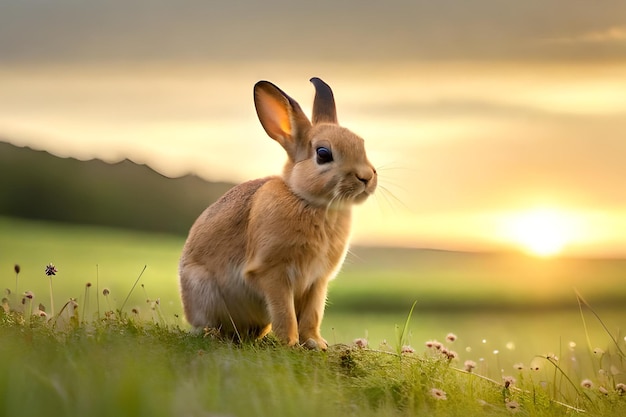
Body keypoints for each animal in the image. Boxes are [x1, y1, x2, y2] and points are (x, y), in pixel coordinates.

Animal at [178, 77, 378, 348]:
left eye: (362, 144)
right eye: (323, 154)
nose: (366, 177)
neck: (309, 201)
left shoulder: (318, 281)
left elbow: (312, 315)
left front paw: (316, 344)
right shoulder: (273, 272)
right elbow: (284, 312)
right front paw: (290, 344)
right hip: (202, 291)